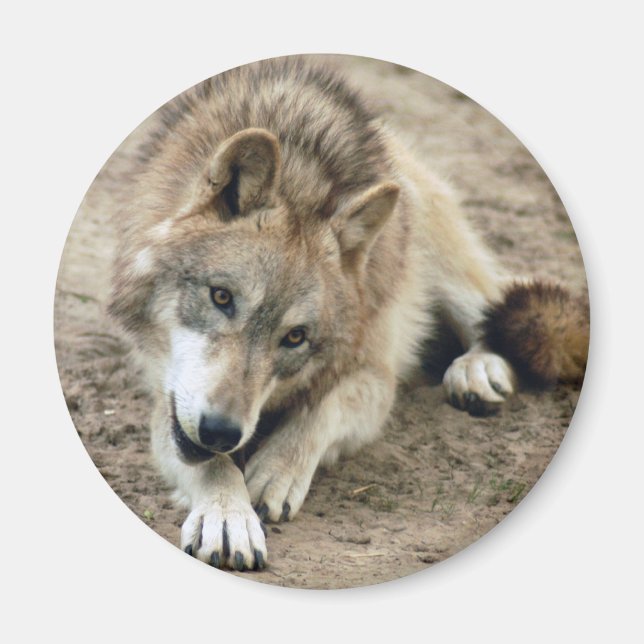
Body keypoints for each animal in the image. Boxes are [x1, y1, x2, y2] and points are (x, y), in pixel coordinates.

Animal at [107, 57, 588, 571]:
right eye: (221, 297)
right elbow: (210, 465)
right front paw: (226, 514)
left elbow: (323, 407)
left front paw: (276, 469)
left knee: (500, 311)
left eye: (295, 337)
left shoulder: (375, 375)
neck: (302, 177)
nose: (220, 432)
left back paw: (477, 370)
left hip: (442, 262)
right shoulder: (166, 396)